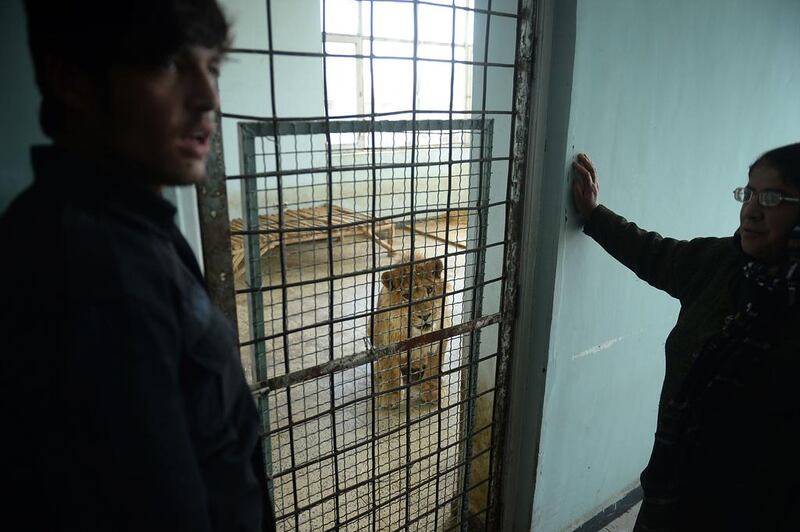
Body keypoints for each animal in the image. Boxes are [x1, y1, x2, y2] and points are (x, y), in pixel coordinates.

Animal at [370, 256, 450, 410]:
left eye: (430, 289)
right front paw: (391, 395)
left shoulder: (442, 335)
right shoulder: (386, 342)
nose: (425, 316)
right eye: (406, 296)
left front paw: (432, 390)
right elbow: (390, 369)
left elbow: (434, 366)